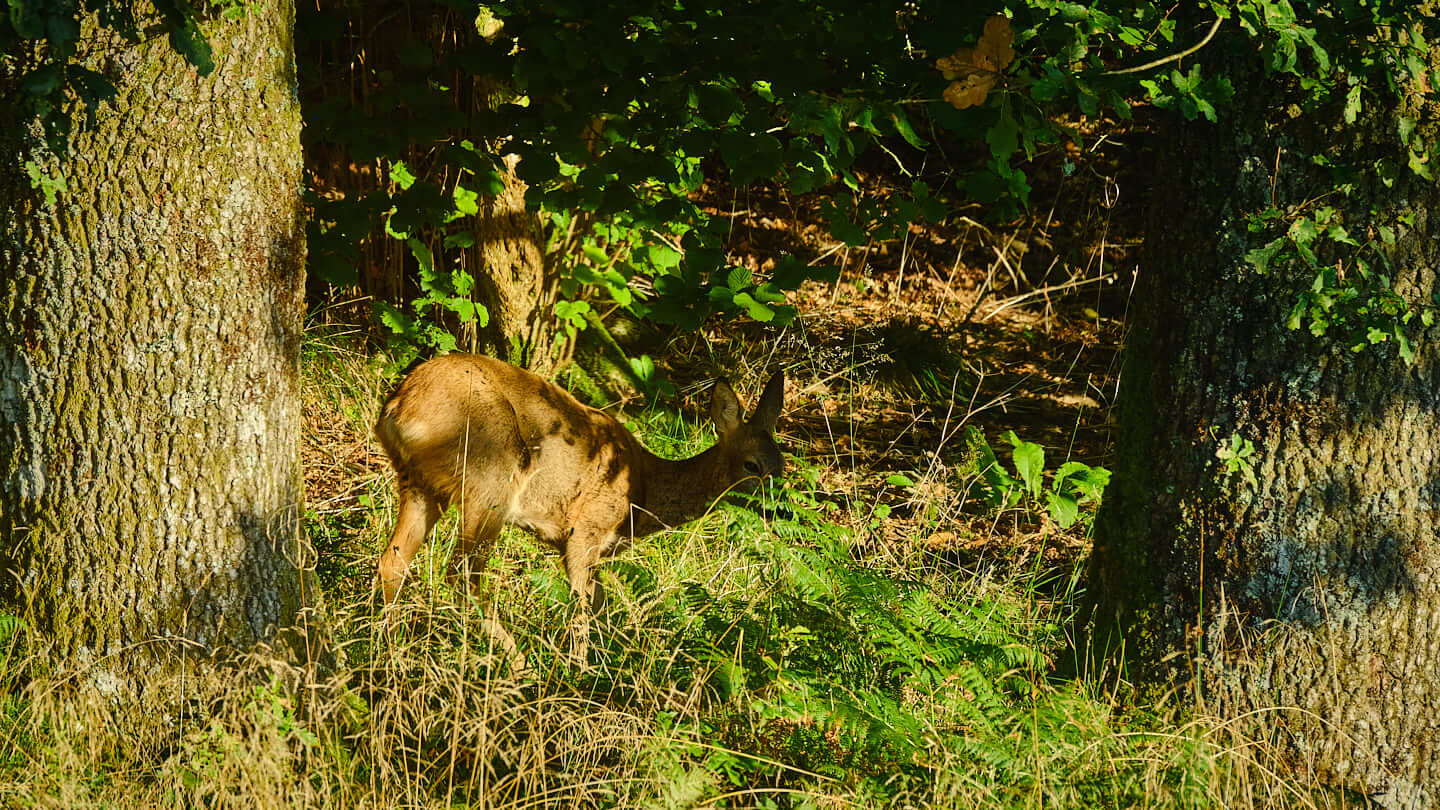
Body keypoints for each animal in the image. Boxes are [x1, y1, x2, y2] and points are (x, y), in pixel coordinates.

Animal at [374, 353, 785, 656]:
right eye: (752, 465)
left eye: (783, 467)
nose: (778, 511)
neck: (642, 492)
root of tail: (399, 406)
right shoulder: (584, 530)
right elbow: (583, 609)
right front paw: (580, 672)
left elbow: (600, 605)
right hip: (491, 475)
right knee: (461, 573)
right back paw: (517, 662)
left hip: (420, 483)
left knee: (394, 560)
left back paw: (391, 651)